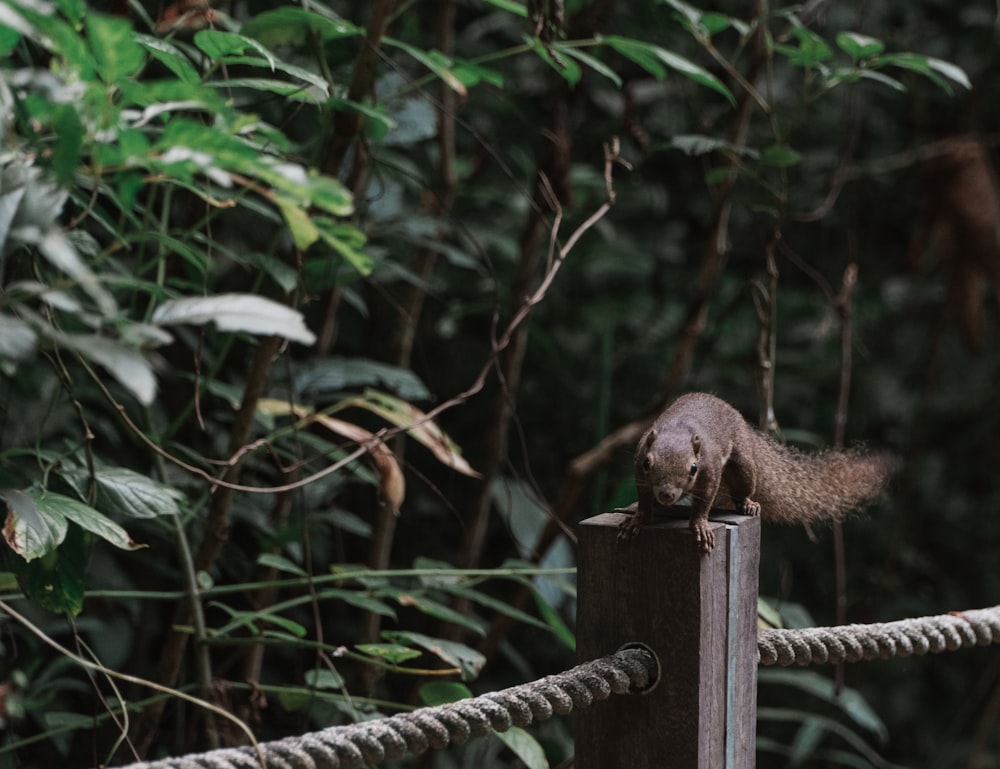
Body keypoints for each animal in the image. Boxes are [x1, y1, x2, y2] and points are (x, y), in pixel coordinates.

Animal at [616, 396, 900, 552]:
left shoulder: (710, 471)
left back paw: (748, 504)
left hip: (744, 466)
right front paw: (639, 519)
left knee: (743, 487)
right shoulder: (640, 471)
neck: (678, 430)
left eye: (693, 468)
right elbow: (644, 499)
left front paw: (699, 525)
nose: (666, 495)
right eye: (647, 463)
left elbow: (704, 500)